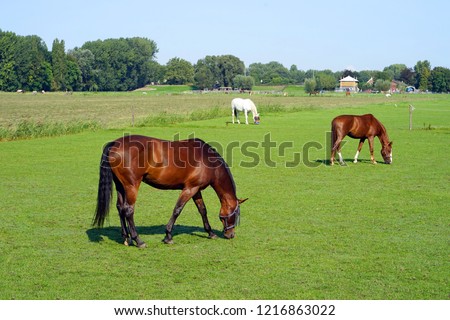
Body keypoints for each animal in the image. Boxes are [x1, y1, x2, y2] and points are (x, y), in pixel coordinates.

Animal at [91, 134, 246, 248]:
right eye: (235, 215)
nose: (230, 235)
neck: (207, 160)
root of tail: (115, 143)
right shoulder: (189, 189)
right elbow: (177, 210)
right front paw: (168, 236)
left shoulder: (196, 190)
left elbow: (202, 210)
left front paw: (210, 232)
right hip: (131, 186)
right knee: (128, 210)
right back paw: (138, 240)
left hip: (120, 186)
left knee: (120, 208)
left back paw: (126, 237)